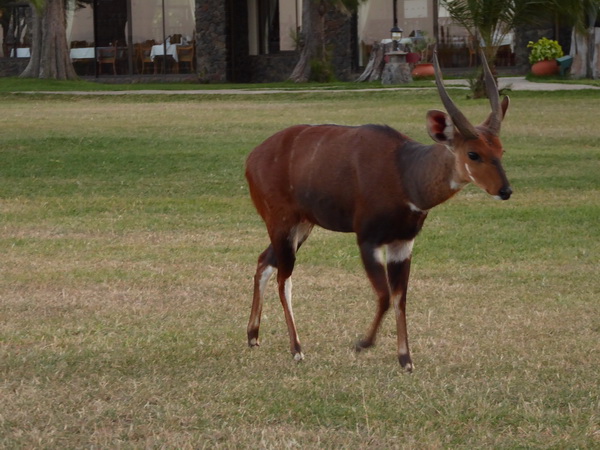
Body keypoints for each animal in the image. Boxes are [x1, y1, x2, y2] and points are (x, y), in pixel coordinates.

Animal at [244, 51, 510, 370]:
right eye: (473, 154)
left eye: (501, 150)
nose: (505, 191)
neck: (406, 172)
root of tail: (252, 158)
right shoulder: (368, 239)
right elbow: (384, 295)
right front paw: (363, 343)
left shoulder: (402, 244)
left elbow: (400, 296)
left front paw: (405, 359)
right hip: (282, 223)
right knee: (284, 278)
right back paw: (296, 348)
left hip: (301, 227)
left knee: (264, 261)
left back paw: (253, 336)